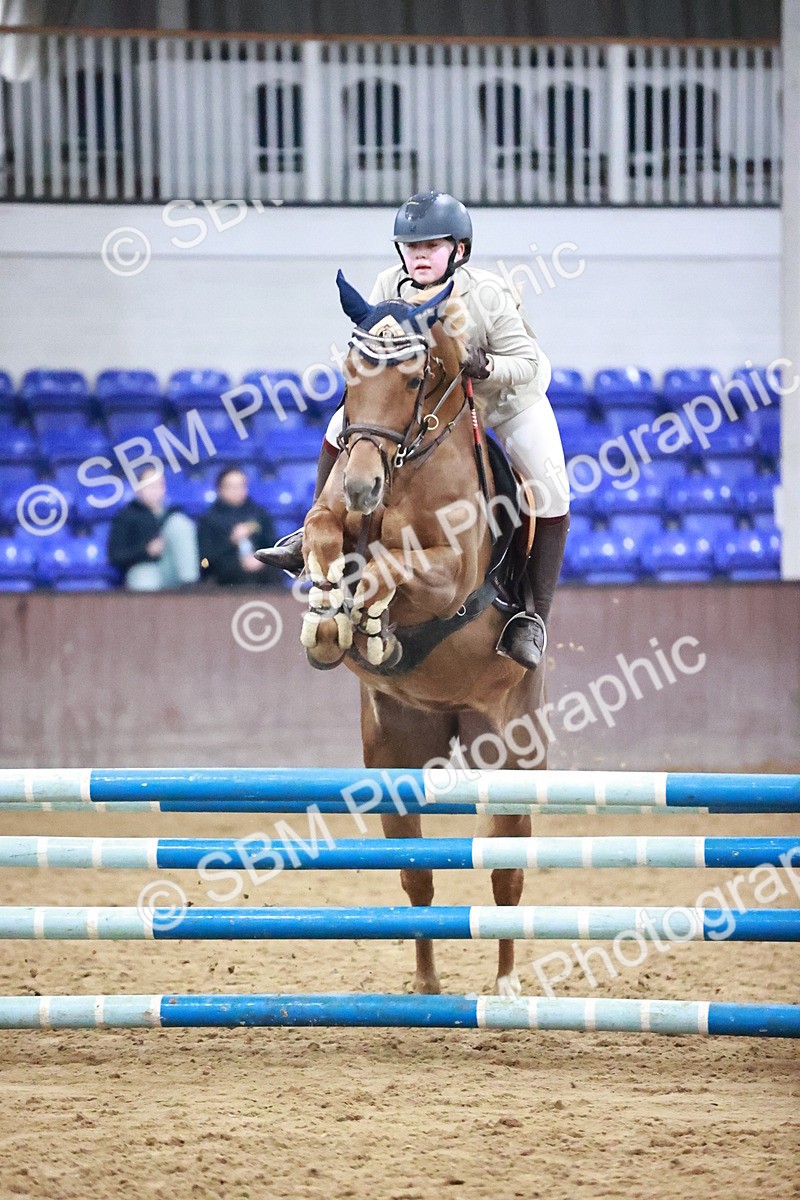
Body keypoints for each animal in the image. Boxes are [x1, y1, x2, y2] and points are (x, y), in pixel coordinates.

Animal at [299, 272, 549, 997]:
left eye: (413, 379)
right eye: (347, 374)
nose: (362, 486)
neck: (406, 460)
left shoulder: (450, 575)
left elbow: (395, 568)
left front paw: (370, 622)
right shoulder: (328, 515)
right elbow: (322, 538)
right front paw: (327, 619)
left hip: (508, 749)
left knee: (504, 874)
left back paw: (505, 987)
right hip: (395, 750)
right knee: (416, 875)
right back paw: (428, 984)